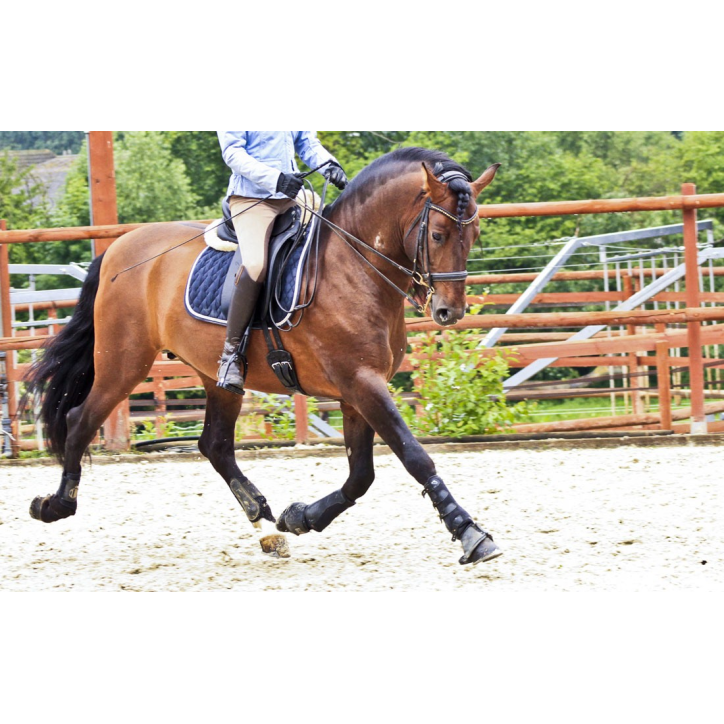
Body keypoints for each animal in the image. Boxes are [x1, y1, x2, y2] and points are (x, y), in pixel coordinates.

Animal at [24, 147, 503, 566]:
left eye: (475, 234)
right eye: (438, 234)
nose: (449, 311)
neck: (354, 267)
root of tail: (117, 249)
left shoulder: (358, 390)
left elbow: (360, 475)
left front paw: (300, 517)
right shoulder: (361, 382)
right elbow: (413, 456)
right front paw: (471, 534)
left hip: (215, 376)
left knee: (215, 445)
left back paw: (265, 525)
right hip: (124, 361)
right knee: (80, 420)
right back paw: (55, 505)